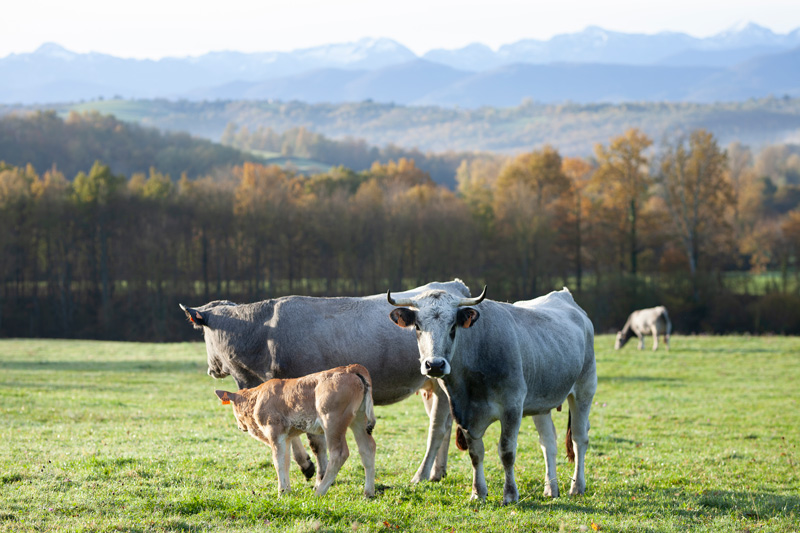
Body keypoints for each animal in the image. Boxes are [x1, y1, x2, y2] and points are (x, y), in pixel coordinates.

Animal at [212, 364, 376, 496]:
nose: (240, 426)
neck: (258, 398)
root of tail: (350, 368)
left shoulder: (275, 434)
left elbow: (278, 462)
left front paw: (281, 492)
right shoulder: (286, 437)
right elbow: (286, 461)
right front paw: (287, 491)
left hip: (332, 423)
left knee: (339, 453)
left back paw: (319, 492)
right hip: (358, 420)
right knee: (367, 448)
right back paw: (368, 493)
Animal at [384, 284, 596, 500]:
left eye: (453, 327)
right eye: (418, 327)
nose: (434, 365)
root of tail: (564, 295)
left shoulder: (512, 407)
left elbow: (507, 451)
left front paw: (510, 494)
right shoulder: (462, 413)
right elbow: (476, 453)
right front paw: (478, 492)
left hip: (585, 389)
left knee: (579, 438)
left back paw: (577, 487)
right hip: (541, 403)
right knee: (548, 442)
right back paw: (551, 489)